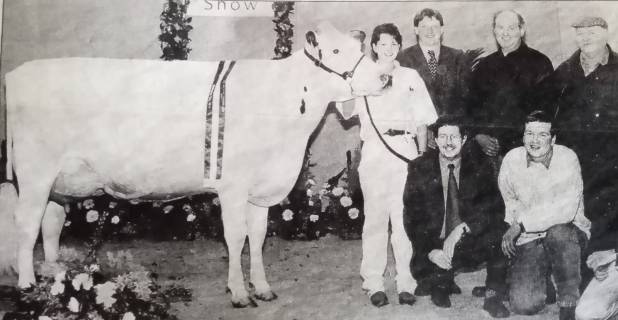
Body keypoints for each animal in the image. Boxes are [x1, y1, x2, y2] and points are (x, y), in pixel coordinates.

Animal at [0, 22, 382, 308]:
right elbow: (235, 237)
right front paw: (239, 293)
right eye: (335, 52)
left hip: (58, 182)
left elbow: (257, 237)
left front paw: (262, 288)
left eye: (360, 49)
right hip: (35, 174)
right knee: (26, 224)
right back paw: (27, 284)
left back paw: (56, 275)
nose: (382, 77)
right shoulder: (232, 185)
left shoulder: (261, 188)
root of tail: (18, 74)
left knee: (50, 223)